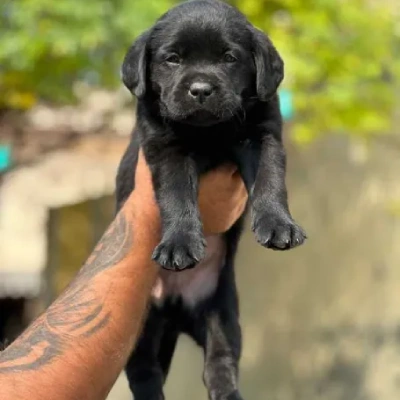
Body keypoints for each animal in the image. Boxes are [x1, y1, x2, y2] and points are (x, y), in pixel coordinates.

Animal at [116, 0, 306, 400]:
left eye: (229, 58)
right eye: (172, 59)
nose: (201, 89)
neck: (209, 131)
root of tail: (175, 310)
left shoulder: (262, 134)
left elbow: (270, 181)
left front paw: (279, 225)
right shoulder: (166, 148)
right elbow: (176, 197)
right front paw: (178, 244)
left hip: (222, 312)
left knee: (220, 361)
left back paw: (228, 392)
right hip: (141, 327)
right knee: (143, 371)